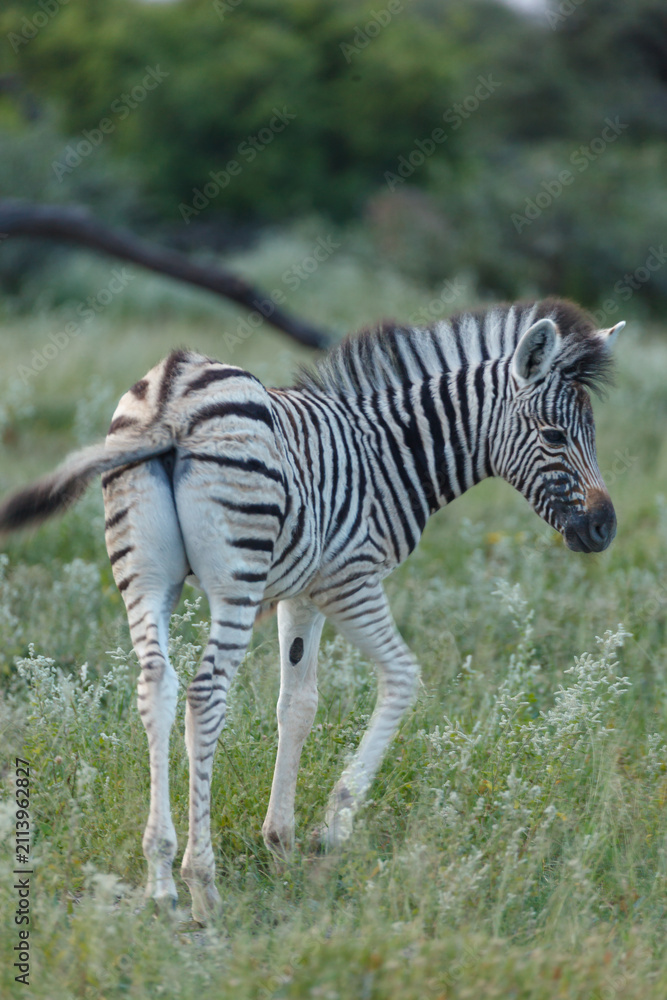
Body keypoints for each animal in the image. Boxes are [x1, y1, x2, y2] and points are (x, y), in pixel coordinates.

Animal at [0, 297, 623, 924]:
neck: (387, 455)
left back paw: (161, 879)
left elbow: (297, 705)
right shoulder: (348, 579)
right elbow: (401, 677)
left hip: (146, 576)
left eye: (593, 434)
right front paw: (333, 826)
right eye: (554, 435)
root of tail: (172, 388)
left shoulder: (300, 593)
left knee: (157, 684)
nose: (604, 530)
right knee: (205, 694)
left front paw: (281, 841)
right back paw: (202, 884)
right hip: (237, 577)